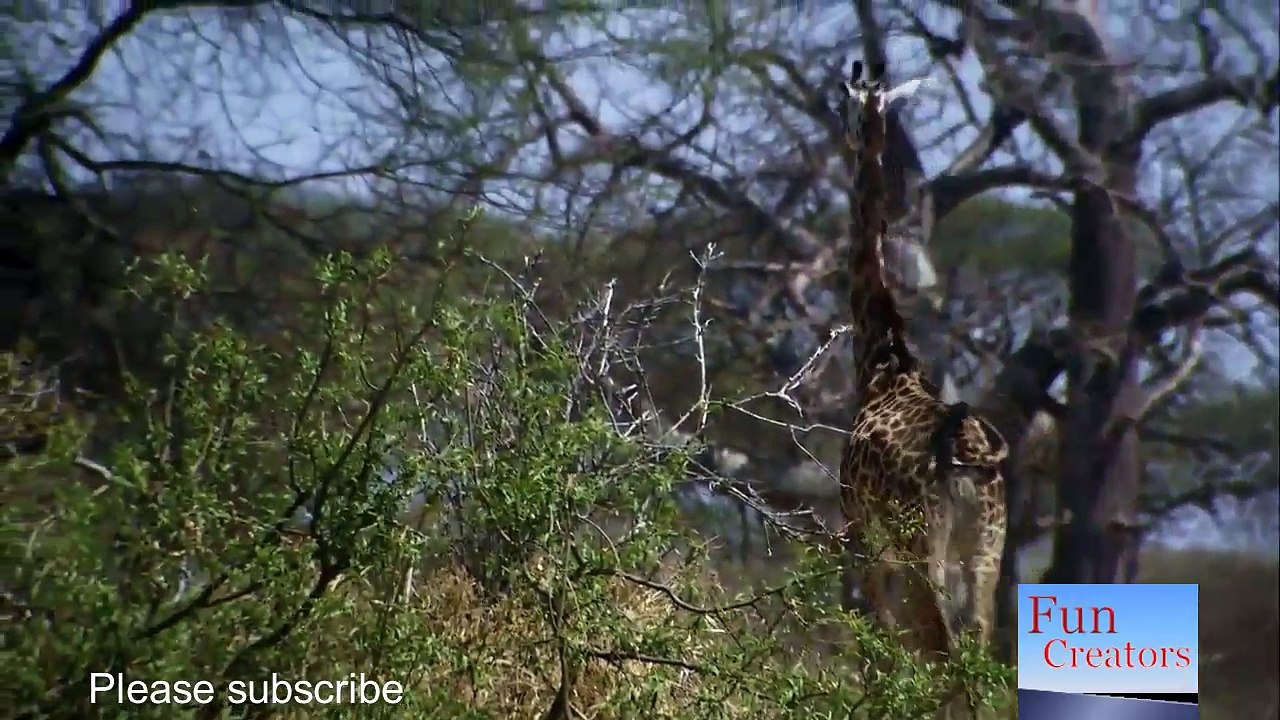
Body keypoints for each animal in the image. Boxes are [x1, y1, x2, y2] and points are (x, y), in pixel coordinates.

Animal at [835, 59, 1009, 681]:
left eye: (846, 106)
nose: (850, 136)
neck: (881, 361)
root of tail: (967, 458)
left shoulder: (861, 532)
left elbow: (881, 644)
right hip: (986, 546)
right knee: (979, 645)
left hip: (923, 544)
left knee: (942, 648)